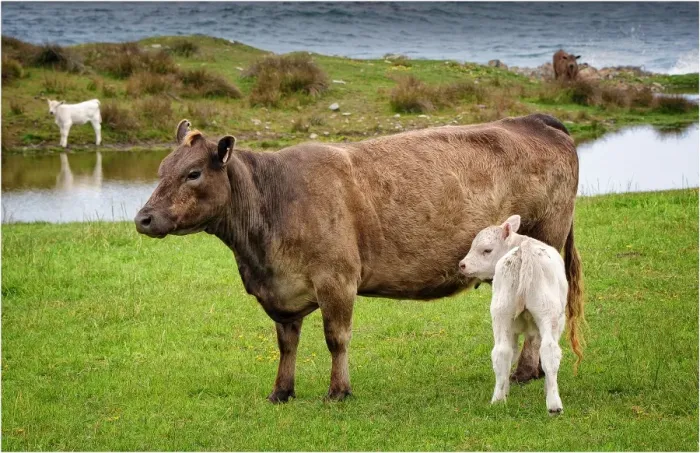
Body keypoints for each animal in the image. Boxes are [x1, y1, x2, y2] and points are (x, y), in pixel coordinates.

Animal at [459, 215, 583, 415]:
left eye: (486, 250)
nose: (462, 264)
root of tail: (524, 251)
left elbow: (512, 353)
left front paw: (506, 389)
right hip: (549, 314)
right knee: (550, 351)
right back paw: (554, 405)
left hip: (501, 311)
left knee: (501, 351)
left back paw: (498, 399)